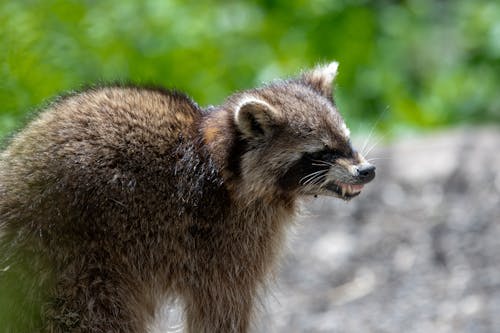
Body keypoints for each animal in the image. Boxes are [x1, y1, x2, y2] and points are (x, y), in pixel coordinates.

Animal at [0, 63, 374, 332]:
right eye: (321, 153)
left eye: (346, 140)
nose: (367, 171)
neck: (226, 165)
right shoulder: (223, 240)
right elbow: (220, 309)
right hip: (68, 258)